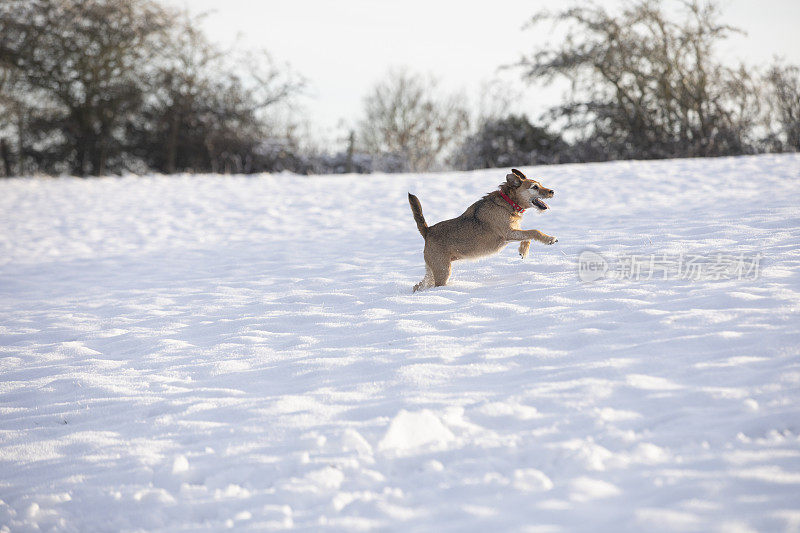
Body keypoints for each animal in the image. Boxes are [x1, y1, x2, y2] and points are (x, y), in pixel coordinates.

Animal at [406, 168, 556, 290]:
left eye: (540, 184)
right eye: (535, 187)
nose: (552, 191)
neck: (508, 202)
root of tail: (428, 231)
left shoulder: (514, 233)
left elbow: (528, 237)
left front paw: (523, 251)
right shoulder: (508, 233)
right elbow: (534, 231)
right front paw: (549, 239)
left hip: (432, 270)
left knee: (418, 285)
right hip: (443, 270)